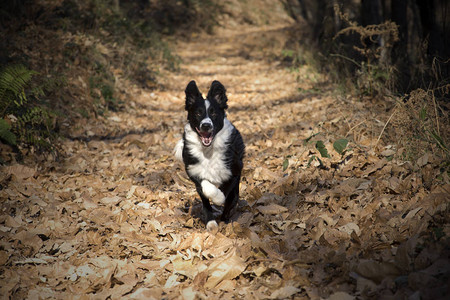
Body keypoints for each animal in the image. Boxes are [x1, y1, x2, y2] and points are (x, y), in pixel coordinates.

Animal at [175, 80, 246, 232]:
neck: (208, 151)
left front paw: (219, 199)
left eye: (213, 113)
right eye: (197, 113)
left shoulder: (234, 170)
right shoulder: (194, 171)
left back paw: (225, 219)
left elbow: (225, 190)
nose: (206, 125)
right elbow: (206, 188)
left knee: (231, 200)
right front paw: (211, 218)